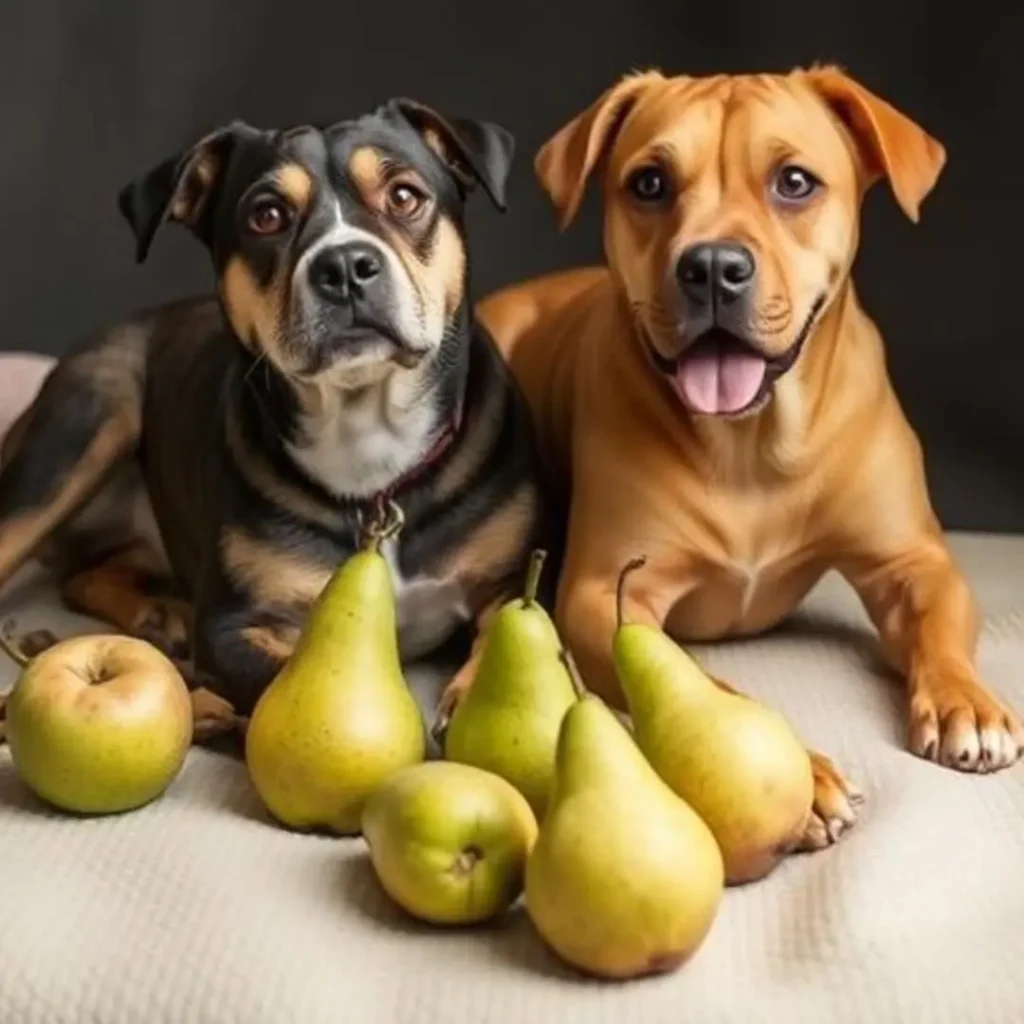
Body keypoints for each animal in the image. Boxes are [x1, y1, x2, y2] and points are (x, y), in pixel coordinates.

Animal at [0, 97, 544, 737]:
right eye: (267, 215)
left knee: (85, 572)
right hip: (84, 425)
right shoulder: (232, 627)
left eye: (405, 196)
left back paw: (157, 615)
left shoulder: (511, 584)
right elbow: (287, 681)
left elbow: (509, 632)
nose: (345, 265)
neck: (369, 441)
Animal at [471, 66, 1024, 847]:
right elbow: (701, 683)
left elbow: (936, 624)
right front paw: (807, 774)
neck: (753, 442)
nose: (710, 266)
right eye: (649, 183)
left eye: (794, 182)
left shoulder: (912, 562)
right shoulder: (604, 594)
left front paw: (963, 701)